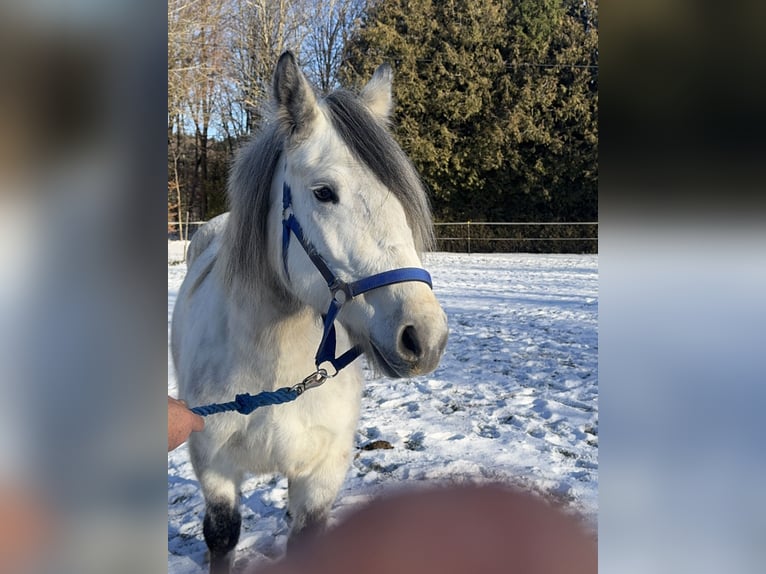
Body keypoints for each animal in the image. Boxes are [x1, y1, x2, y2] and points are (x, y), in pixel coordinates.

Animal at [171, 51, 448, 573]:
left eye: (400, 197)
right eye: (324, 192)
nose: (424, 338)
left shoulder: (321, 476)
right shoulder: (215, 472)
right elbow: (222, 537)